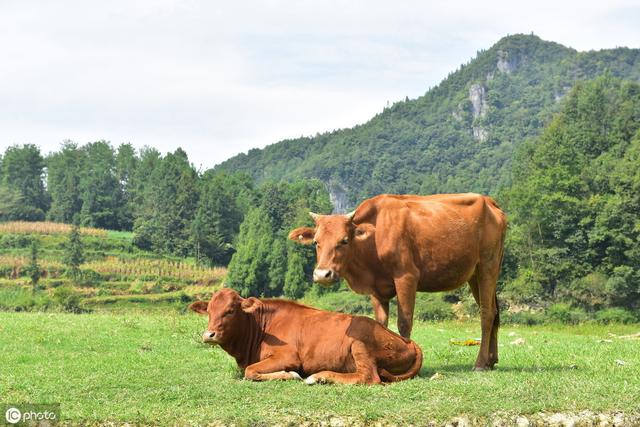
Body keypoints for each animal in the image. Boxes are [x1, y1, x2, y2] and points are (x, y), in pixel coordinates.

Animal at [188, 290, 422, 386]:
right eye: (209, 311)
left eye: (230, 310)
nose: (209, 335)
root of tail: (407, 341)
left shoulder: (288, 356)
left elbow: (250, 371)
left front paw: (290, 375)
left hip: (360, 343)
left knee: (368, 377)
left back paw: (319, 377)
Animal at [290, 194, 504, 372]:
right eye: (316, 242)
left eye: (344, 240)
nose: (322, 274)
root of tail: (489, 201)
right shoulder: (376, 288)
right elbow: (380, 324)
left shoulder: (406, 277)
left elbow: (404, 322)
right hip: (474, 275)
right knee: (494, 312)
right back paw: (491, 360)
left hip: (488, 266)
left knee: (486, 314)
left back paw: (480, 364)